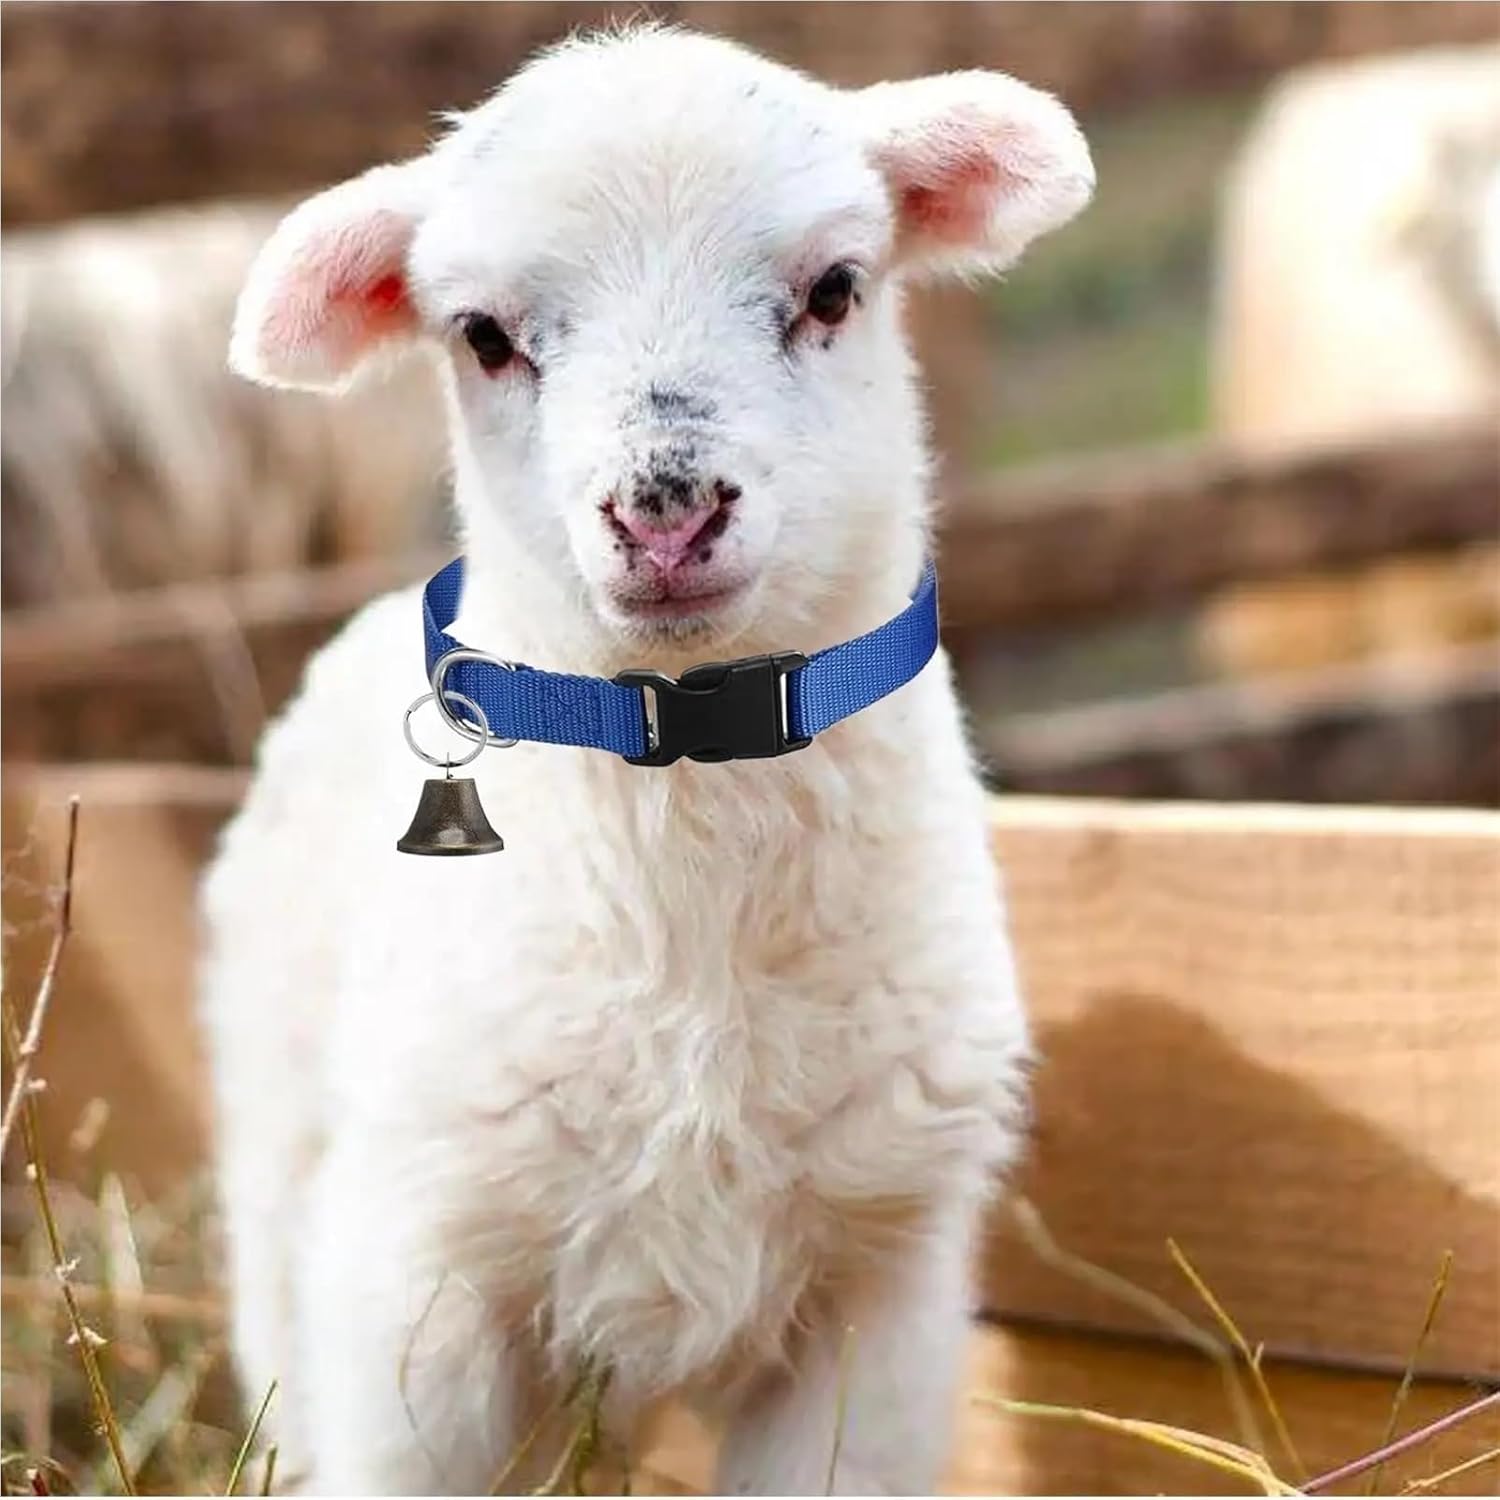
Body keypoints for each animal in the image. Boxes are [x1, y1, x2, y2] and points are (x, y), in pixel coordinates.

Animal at [200, 25, 1092, 1495]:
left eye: (835, 288)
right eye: (484, 336)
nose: (665, 510)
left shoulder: (876, 1299)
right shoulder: (417, 1291)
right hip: (284, 1179)